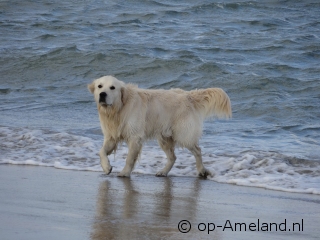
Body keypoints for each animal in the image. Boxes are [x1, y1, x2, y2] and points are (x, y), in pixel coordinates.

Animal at [89, 76, 231, 177]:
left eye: (112, 87)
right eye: (99, 86)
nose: (102, 94)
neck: (118, 108)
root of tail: (187, 95)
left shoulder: (135, 137)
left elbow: (129, 158)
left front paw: (124, 172)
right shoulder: (112, 136)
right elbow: (101, 151)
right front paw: (106, 167)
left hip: (183, 134)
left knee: (197, 150)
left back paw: (202, 171)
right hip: (164, 138)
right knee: (173, 157)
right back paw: (163, 172)